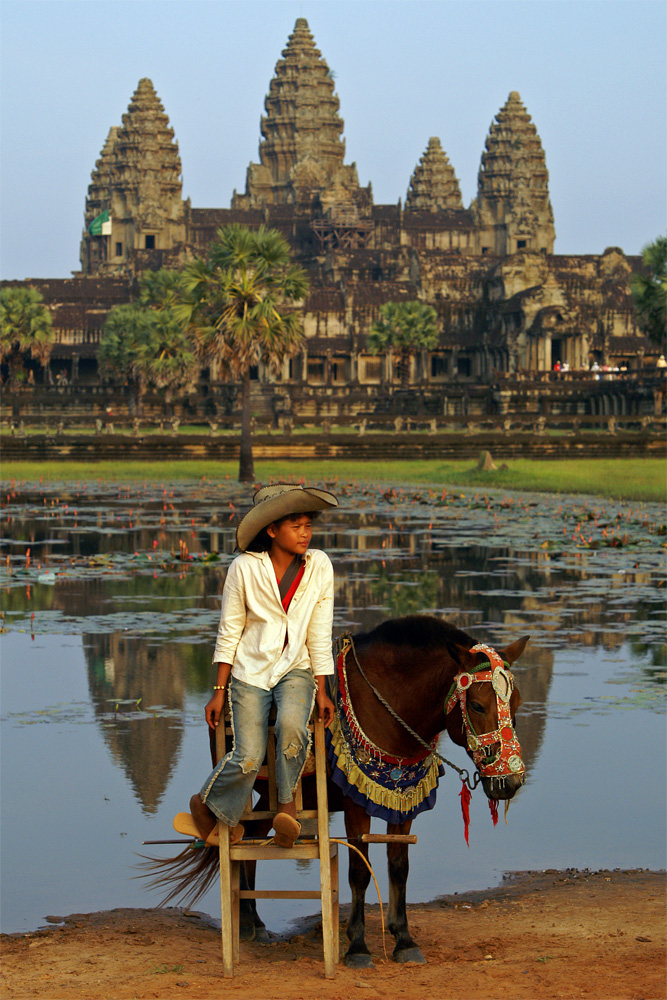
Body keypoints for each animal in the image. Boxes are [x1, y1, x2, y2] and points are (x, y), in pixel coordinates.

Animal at [144, 612, 528, 972]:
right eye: (477, 705)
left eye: (518, 703)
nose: (510, 782)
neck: (391, 705)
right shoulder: (356, 803)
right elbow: (359, 872)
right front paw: (358, 947)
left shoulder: (404, 802)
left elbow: (399, 867)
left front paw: (404, 939)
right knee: (239, 837)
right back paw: (247, 920)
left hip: (267, 799)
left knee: (253, 839)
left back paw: (252, 922)